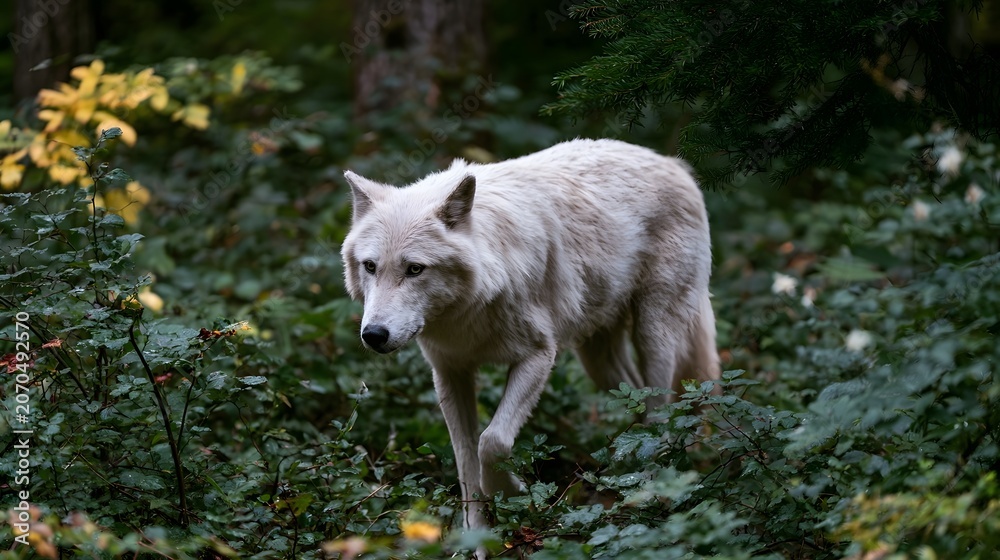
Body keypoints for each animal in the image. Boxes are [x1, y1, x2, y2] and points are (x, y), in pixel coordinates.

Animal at [340, 138, 719, 535]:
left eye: (415, 269)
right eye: (370, 266)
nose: (374, 335)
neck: (470, 307)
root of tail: (672, 163)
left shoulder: (538, 356)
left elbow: (491, 442)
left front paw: (513, 492)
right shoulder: (450, 373)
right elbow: (466, 462)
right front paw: (477, 535)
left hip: (652, 334)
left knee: (660, 412)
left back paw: (653, 490)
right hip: (599, 362)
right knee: (637, 402)